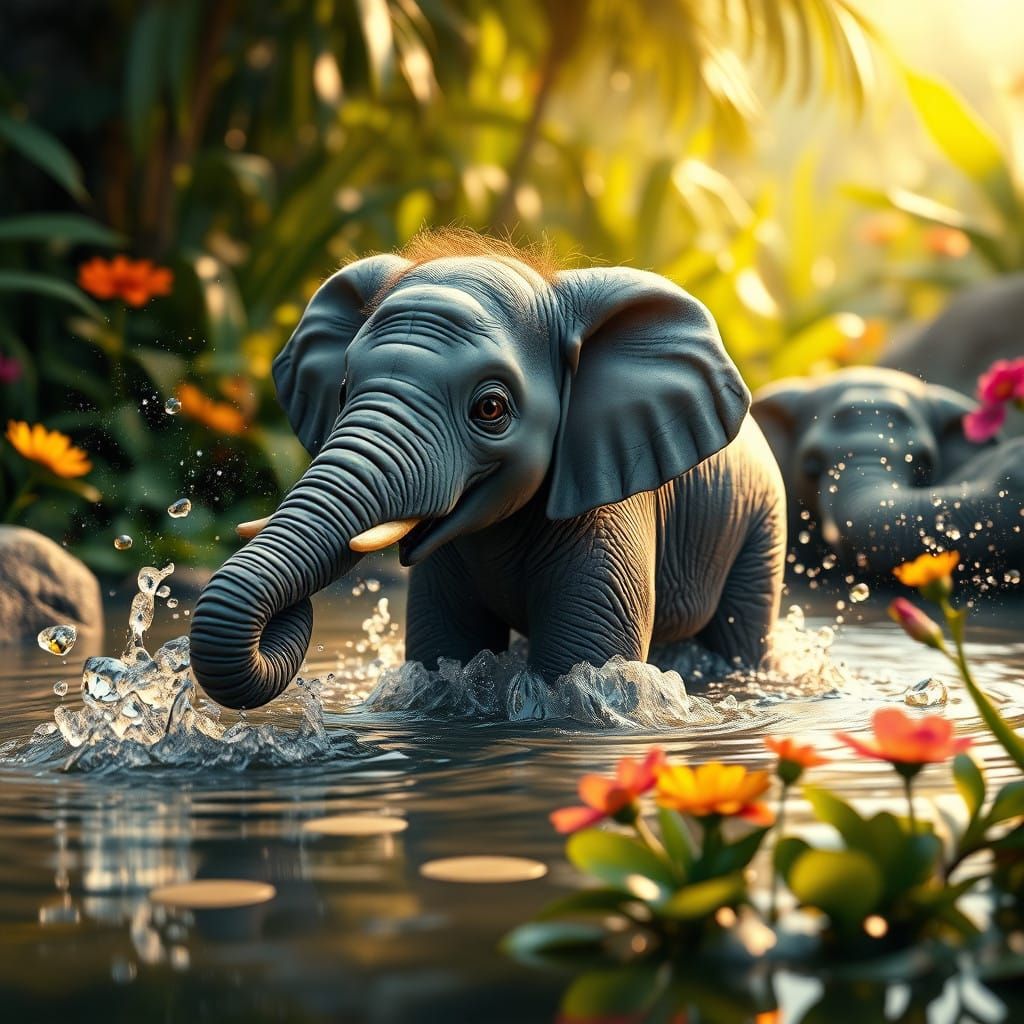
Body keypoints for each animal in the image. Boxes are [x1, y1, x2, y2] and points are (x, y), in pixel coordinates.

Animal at [189, 232, 786, 710]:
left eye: (491, 409)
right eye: (340, 392)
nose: (290, 613)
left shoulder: (607, 513)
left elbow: (580, 668)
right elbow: (443, 653)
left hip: (763, 523)